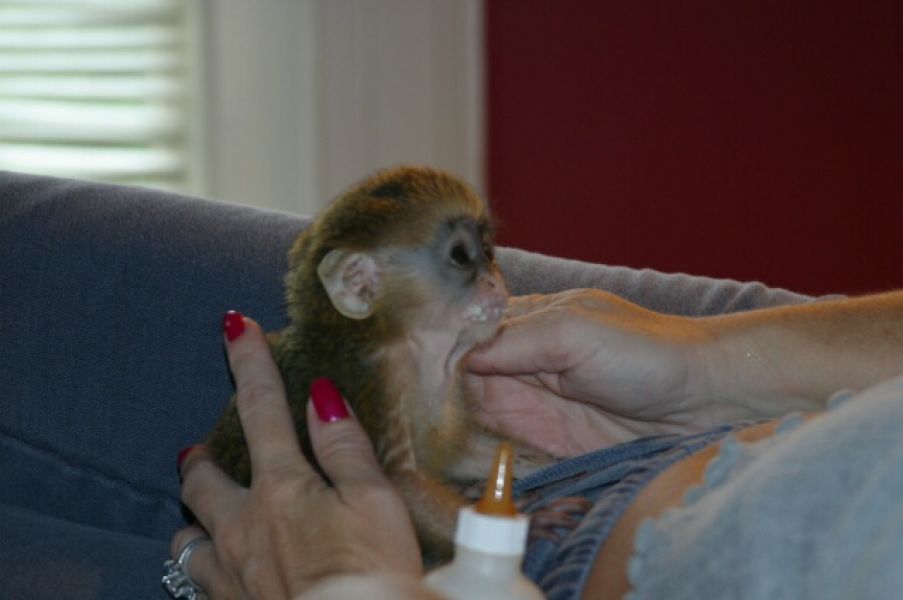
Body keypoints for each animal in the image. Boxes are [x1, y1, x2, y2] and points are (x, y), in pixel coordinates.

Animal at [205, 165, 557, 562]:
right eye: (461, 255)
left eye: (488, 251)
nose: (495, 281)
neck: (416, 349)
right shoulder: (370, 379)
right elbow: (397, 484)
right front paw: (523, 532)